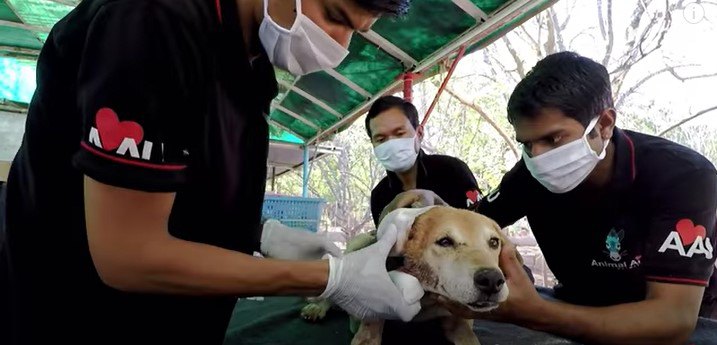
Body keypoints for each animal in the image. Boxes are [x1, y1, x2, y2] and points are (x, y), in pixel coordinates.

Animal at [302, 206, 516, 342]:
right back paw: (318, 307)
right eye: (445, 242)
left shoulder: (459, 323)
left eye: (494, 242)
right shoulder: (370, 324)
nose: (491, 280)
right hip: (359, 241)